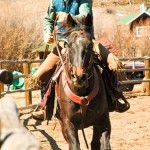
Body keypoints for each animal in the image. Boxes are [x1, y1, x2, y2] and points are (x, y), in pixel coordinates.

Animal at [54, 14, 110, 150]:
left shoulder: (103, 120)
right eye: (69, 45)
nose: (79, 77)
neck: (82, 93)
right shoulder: (68, 124)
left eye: (90, 45)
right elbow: (75, 145)